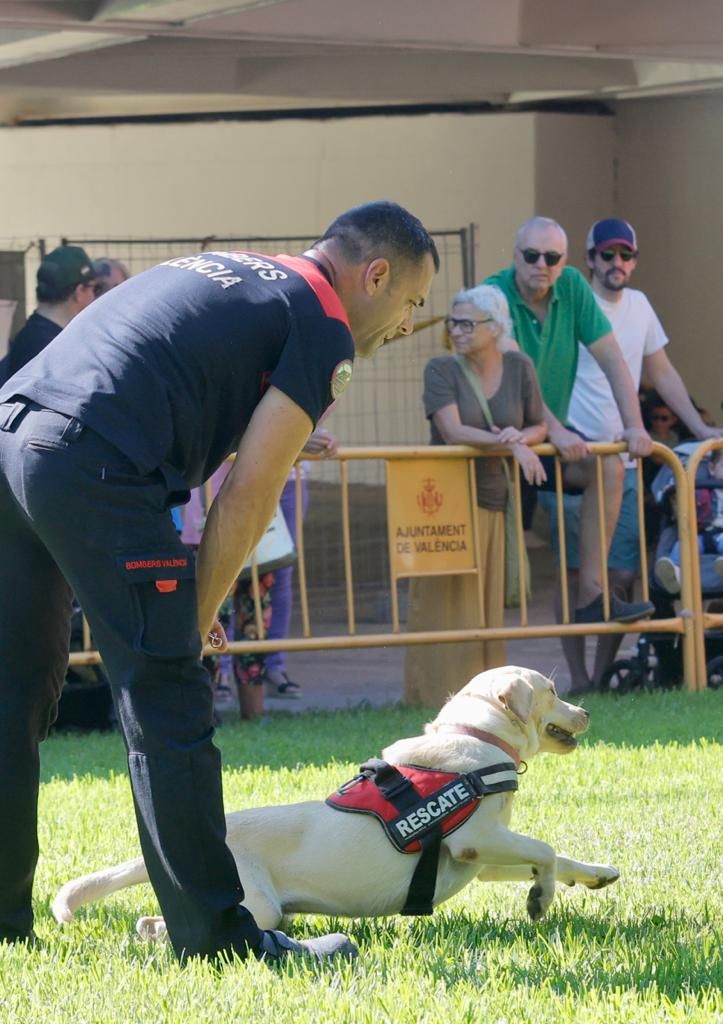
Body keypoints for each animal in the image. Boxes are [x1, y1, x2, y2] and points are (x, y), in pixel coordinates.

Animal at [52, 667, 614, 937]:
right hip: (257, 906)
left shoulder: (479, 858)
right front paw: (540, 899)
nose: (587, 711)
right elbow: (543, 850)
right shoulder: (478, 839)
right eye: (552, 689)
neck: (476, 737)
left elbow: (554, 855)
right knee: (162, 925)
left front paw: (594, 874)